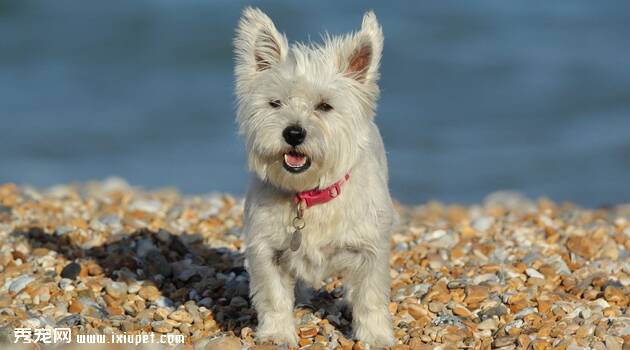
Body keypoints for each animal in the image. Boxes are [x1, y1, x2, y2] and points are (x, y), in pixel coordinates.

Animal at [235, 6, 398, 348]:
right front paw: (276, 334)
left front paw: (376, 337)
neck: (309, 195)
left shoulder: (370, 249)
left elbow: (370, 297)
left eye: (325, 106)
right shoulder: (266, 249)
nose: (294, 133)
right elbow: (274, 296)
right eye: (275, 103)